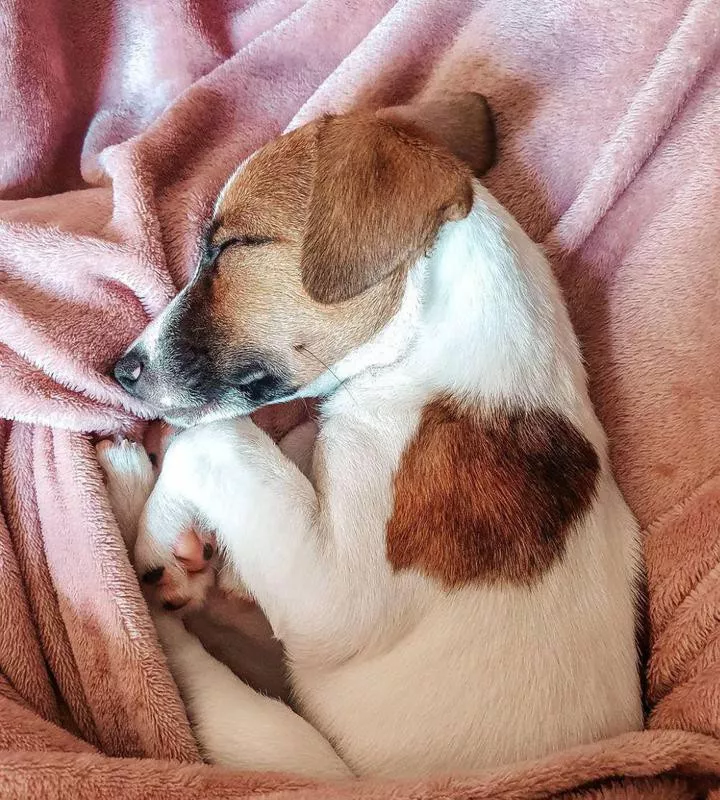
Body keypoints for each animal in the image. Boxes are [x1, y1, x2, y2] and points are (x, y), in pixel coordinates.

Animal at [98, 90, 644, 780]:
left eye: (232, 246)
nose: (120, 371)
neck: (425, 355)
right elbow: (275, 453)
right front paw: (196, 547)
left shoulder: (334, 599)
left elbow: (213, 439)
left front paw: (161, 532)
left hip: (305, 758)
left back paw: (126, 504)